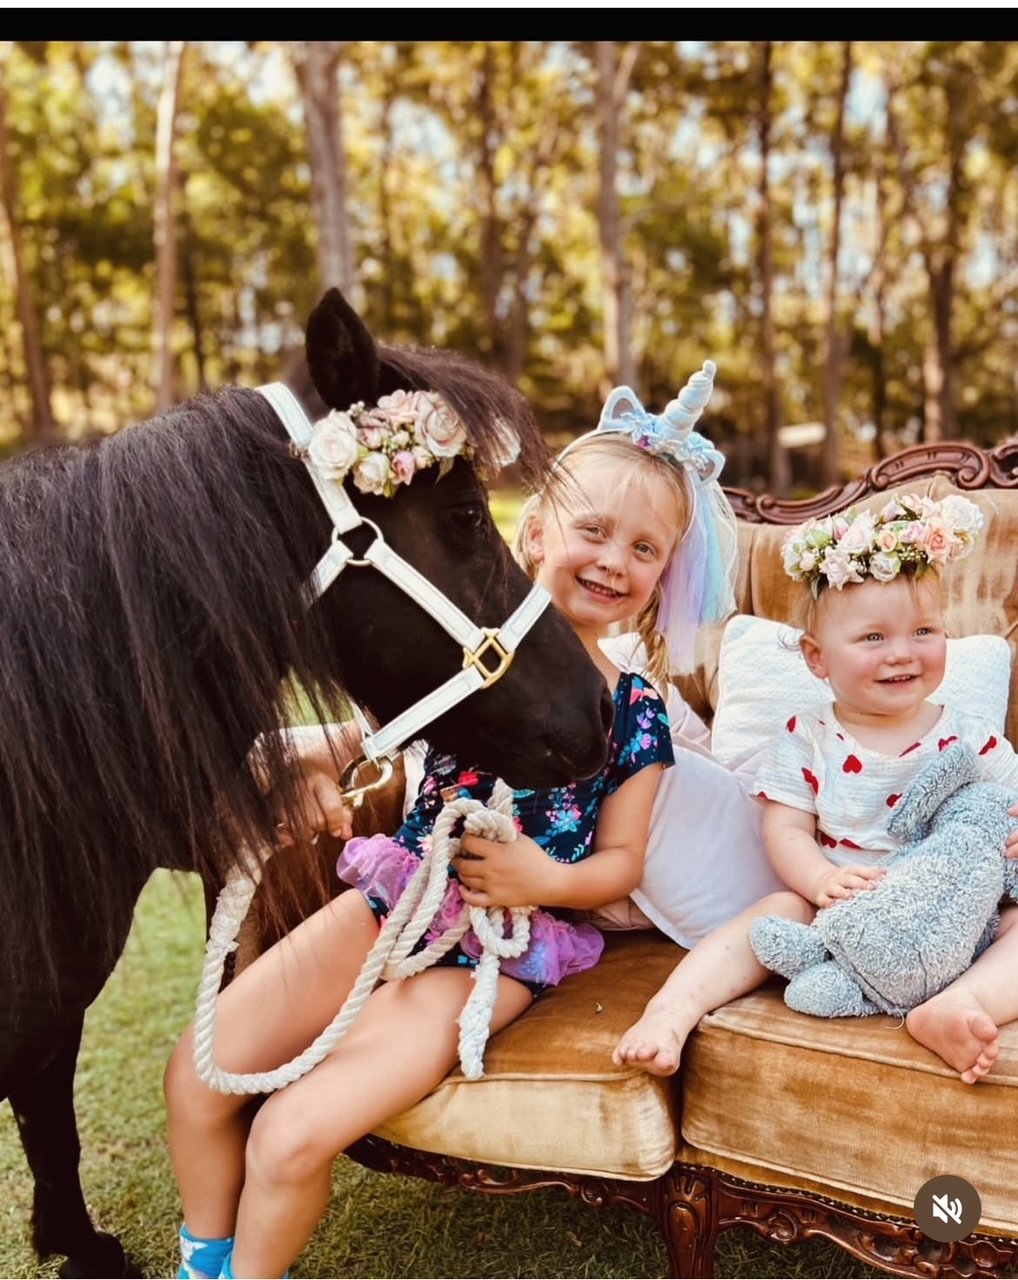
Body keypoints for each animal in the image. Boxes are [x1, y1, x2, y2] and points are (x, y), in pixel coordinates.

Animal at [0, 287, 613, 1279]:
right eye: (466, 515)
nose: (597, 709)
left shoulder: (47, 1009)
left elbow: (50, 1113)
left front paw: (74, 1244)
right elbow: (49, 1108)